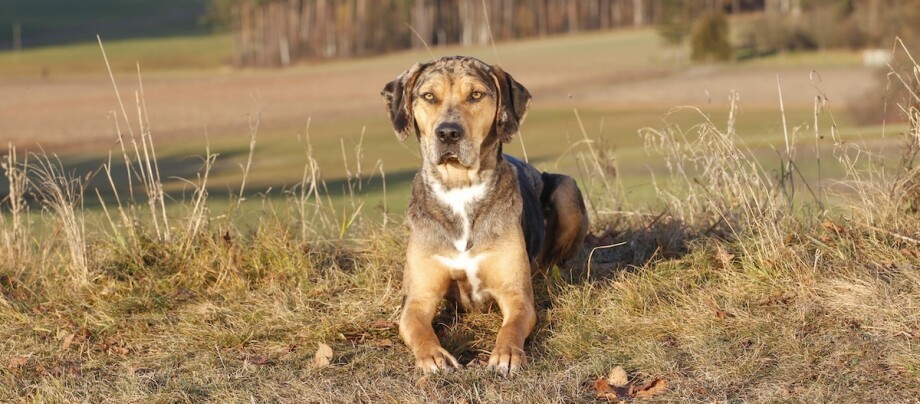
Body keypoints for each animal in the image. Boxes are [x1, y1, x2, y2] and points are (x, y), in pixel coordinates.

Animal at [380, 55, 588, 374]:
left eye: (476, 95)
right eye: (428, 96)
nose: (448, 133)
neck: (459, 188)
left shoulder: (516, 295)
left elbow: (512, 326)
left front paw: (506, 354)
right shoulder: (417, 299)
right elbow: (419, 328)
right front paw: (434, 356)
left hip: (567, 188)